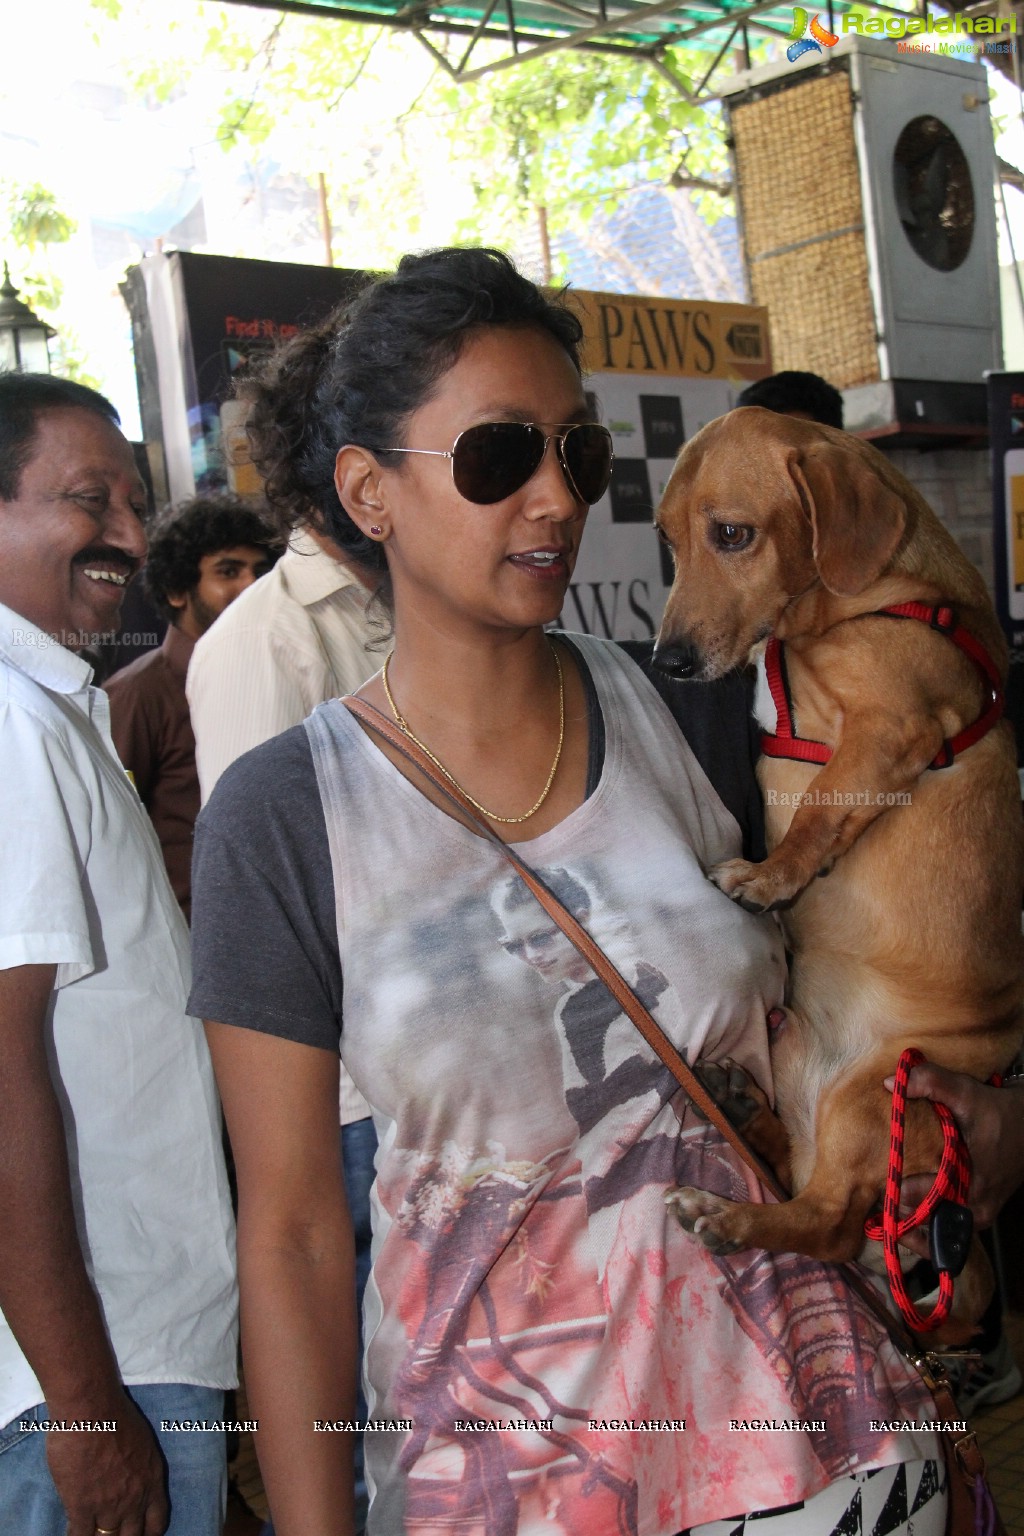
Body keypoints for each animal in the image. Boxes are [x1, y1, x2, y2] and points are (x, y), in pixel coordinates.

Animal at [657, 405, 1024, 1333]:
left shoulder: (890, 725)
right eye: (666, 540)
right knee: (800, 1173)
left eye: (732, 534)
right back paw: (746, 1115)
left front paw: (771, 875)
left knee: (824, 1222)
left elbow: (823, 806)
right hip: (797, 1050)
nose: (667, 660)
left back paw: (729, 1217)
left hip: (874, 1094)